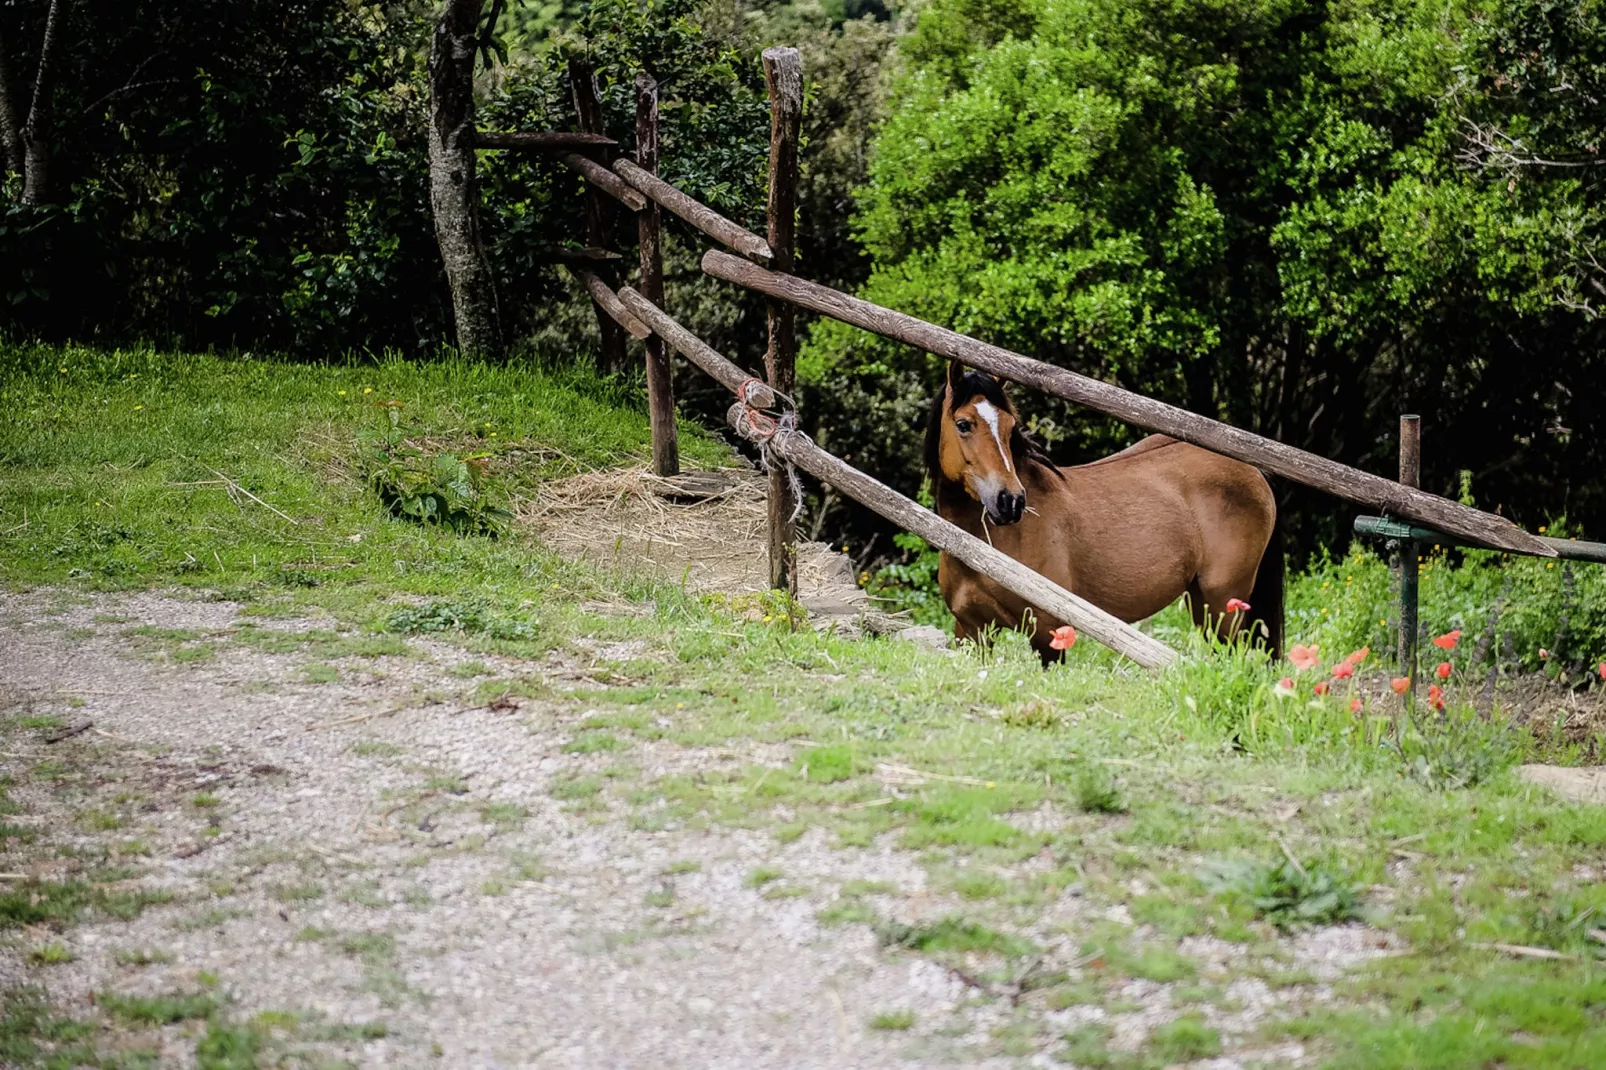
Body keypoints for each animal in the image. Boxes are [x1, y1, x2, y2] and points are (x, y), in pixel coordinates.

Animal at [925, 363, 1284, 655]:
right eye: (963, 424)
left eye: (1011, 427)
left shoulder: (1048, 632)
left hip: (1224, 601)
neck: (981, 548)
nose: (1010, 501)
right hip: (1203, 602)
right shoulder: (971, 632)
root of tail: (1252, 470)